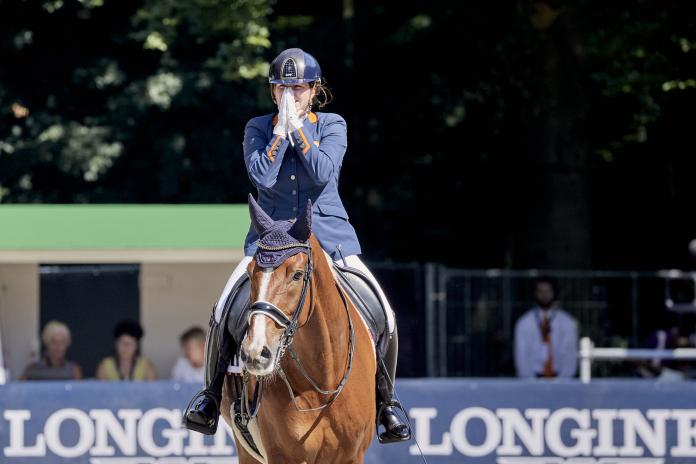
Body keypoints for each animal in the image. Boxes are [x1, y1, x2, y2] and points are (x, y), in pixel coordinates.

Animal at [222, 196, 376, 464]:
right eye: (250, 273)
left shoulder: (352, 455)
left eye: (297, 275)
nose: (255, 353)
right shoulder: (285, 455)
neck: (324, 378)